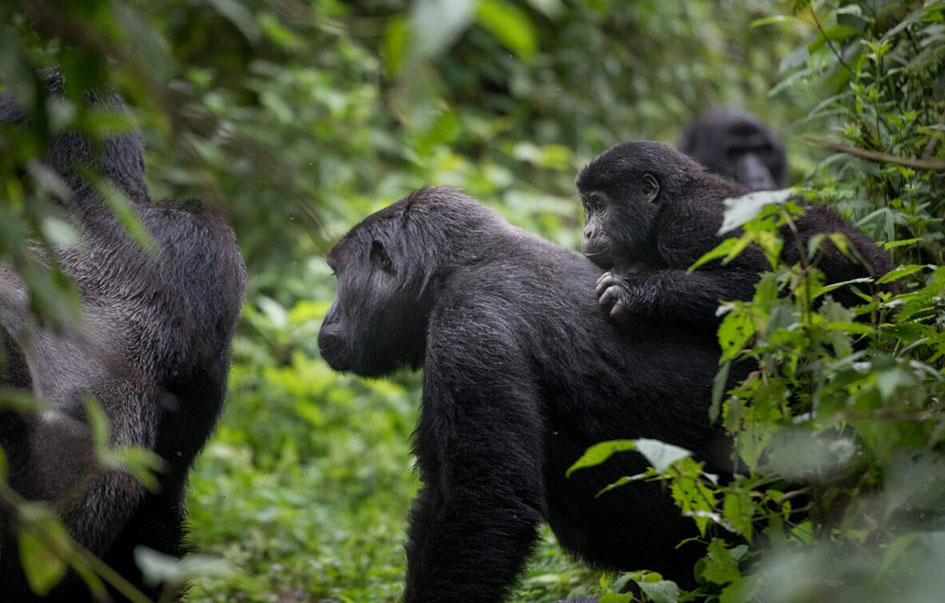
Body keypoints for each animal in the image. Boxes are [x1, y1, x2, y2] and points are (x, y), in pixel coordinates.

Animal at [320, 186, 728, 600]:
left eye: (337, 275)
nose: (326, 319)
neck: (457, 265)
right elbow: (440, 494)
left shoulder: (469, 327)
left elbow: (483, 498)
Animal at [576, 140, 892, 332]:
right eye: (588, 208)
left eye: (600, 206)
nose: (587, 231)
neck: (667, 204)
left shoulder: (691, 224)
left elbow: (761, 280)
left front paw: (634, 291)